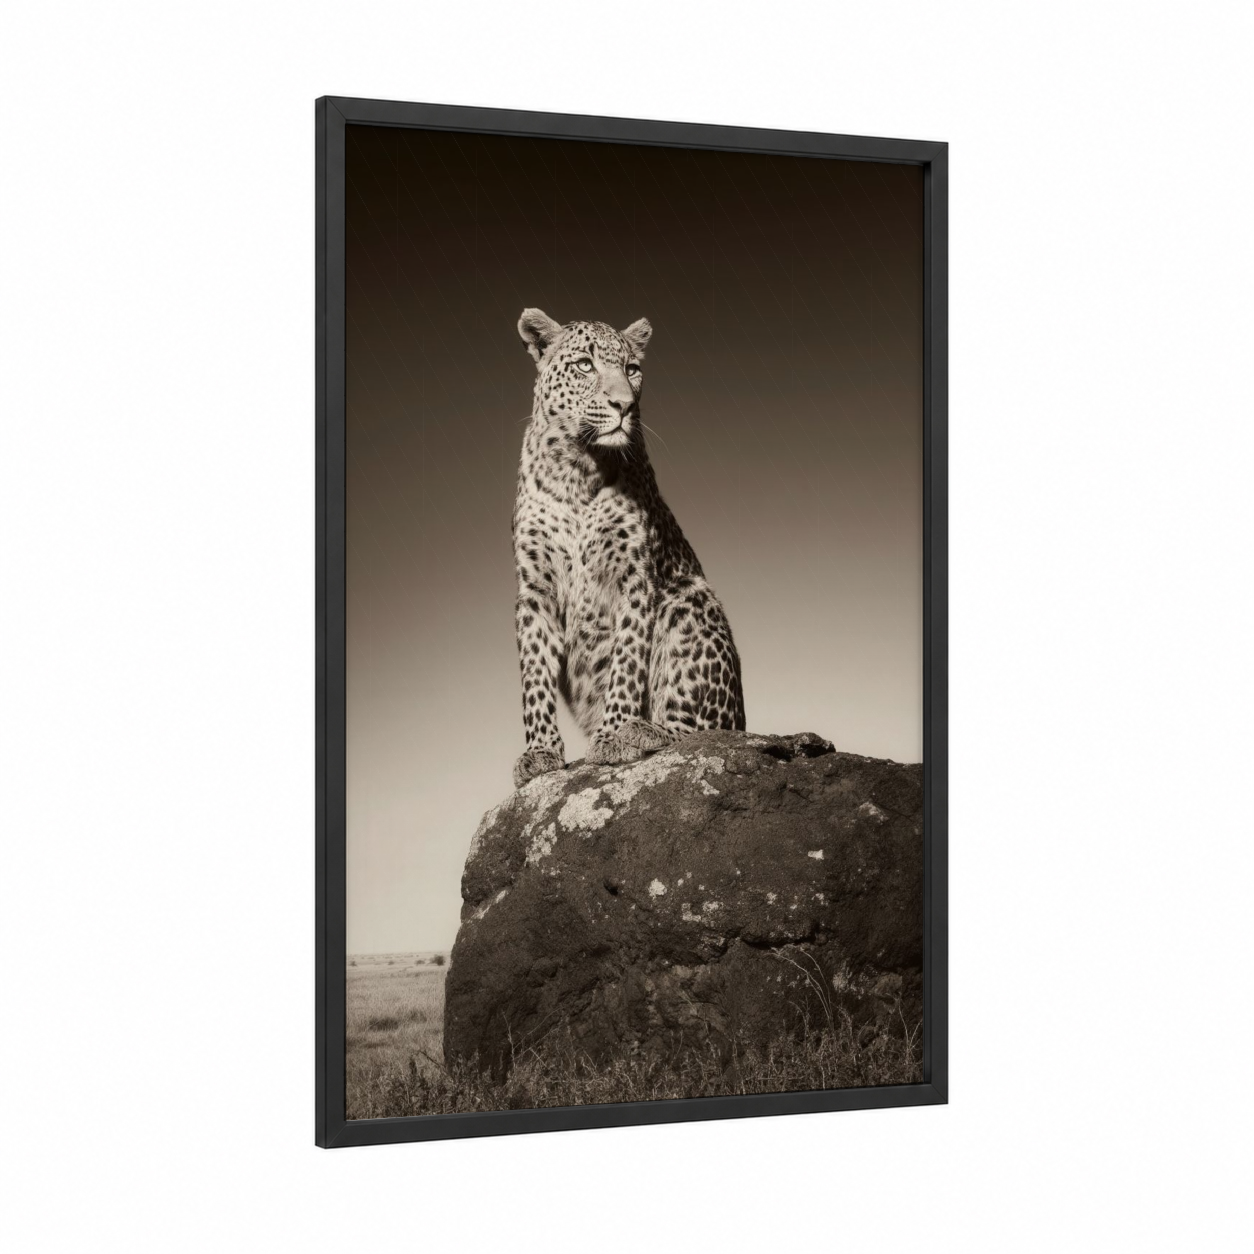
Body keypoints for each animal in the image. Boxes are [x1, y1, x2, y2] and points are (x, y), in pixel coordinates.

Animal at [511, 307, 745, 789]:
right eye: (585, 365)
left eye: (632, 370)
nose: (625, 406)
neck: (577, 468)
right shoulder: (535, 588)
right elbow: (534, 675)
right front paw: (540, 752)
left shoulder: (637, 578)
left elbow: (628, 658)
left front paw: (615, 733)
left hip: (687, 597)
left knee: (702, 732)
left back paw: (647, 730)